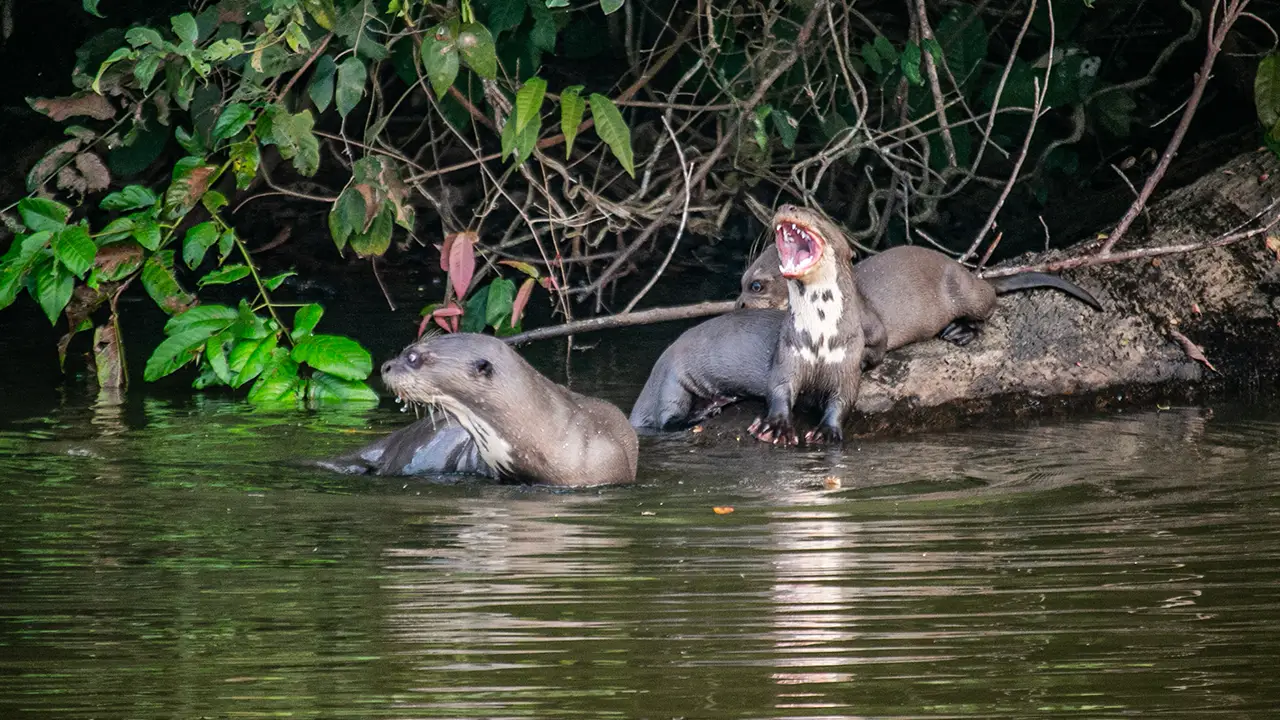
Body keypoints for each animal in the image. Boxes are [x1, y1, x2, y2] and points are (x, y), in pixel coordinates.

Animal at [739, 243, 1101, 347]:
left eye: (756, 285)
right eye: (740, 282)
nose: (739, 304)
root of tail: (973, 275)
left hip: (964, 291)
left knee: (990, 308)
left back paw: (960, 331)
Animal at [749, 205, 882, 446]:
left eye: (817, 214)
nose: (786, 206)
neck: (820, 337)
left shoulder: (847, 358)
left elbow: (843, 400)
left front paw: (827, 431)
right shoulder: (789, 351)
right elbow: (779, 389)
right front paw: (775, 426)